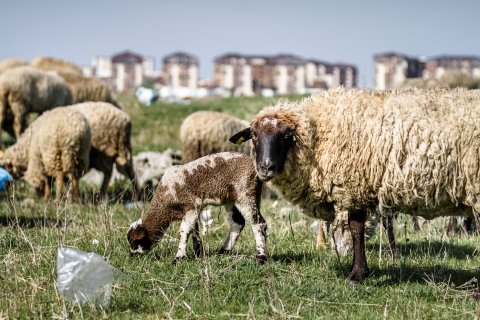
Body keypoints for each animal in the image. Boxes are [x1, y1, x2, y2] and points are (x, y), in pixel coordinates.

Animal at [125, 152, 268, 262]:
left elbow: (183, 231)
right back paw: (223, 251)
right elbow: (194, 229)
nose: (131, 255)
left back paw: (261, 257)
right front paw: (198, 251)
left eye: (136, 241)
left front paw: (178, 258)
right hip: (231, 198)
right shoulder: (192, 210)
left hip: (245, 193)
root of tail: (253, 167)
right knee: (237, 223)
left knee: (258, 223)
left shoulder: (191, 205)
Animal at [229, 87, 480, 280]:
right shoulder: (359, 188)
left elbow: (356, 228)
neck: (320, 134)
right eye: (254, 136)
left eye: (286, 137)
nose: (266, 167)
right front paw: (357, 270)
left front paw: (357, 274)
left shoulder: (355, 185)